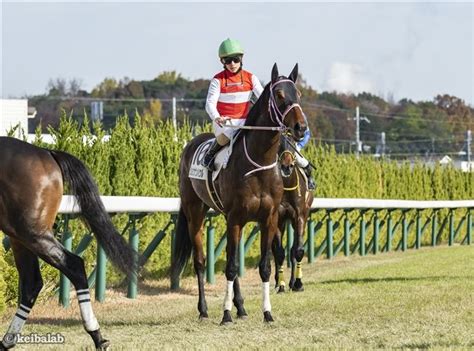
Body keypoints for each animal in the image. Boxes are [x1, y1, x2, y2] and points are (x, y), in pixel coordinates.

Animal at [0, 138, 137, 351]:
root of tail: (46, 152)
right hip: (20, 236)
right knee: (32, 283)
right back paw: (8, 340)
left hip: (31, 233)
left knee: (73, 265)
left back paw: (97, 335)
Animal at [272, 135, 312, 294]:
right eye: (279, 146)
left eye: (293, 144)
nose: (286, 167)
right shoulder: (278, 219)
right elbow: (279, 252)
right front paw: (281, 285)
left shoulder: (299, 217)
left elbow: (298, 250)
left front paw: (298, 283)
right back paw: (278, 282)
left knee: (294, 249)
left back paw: (293, 282)